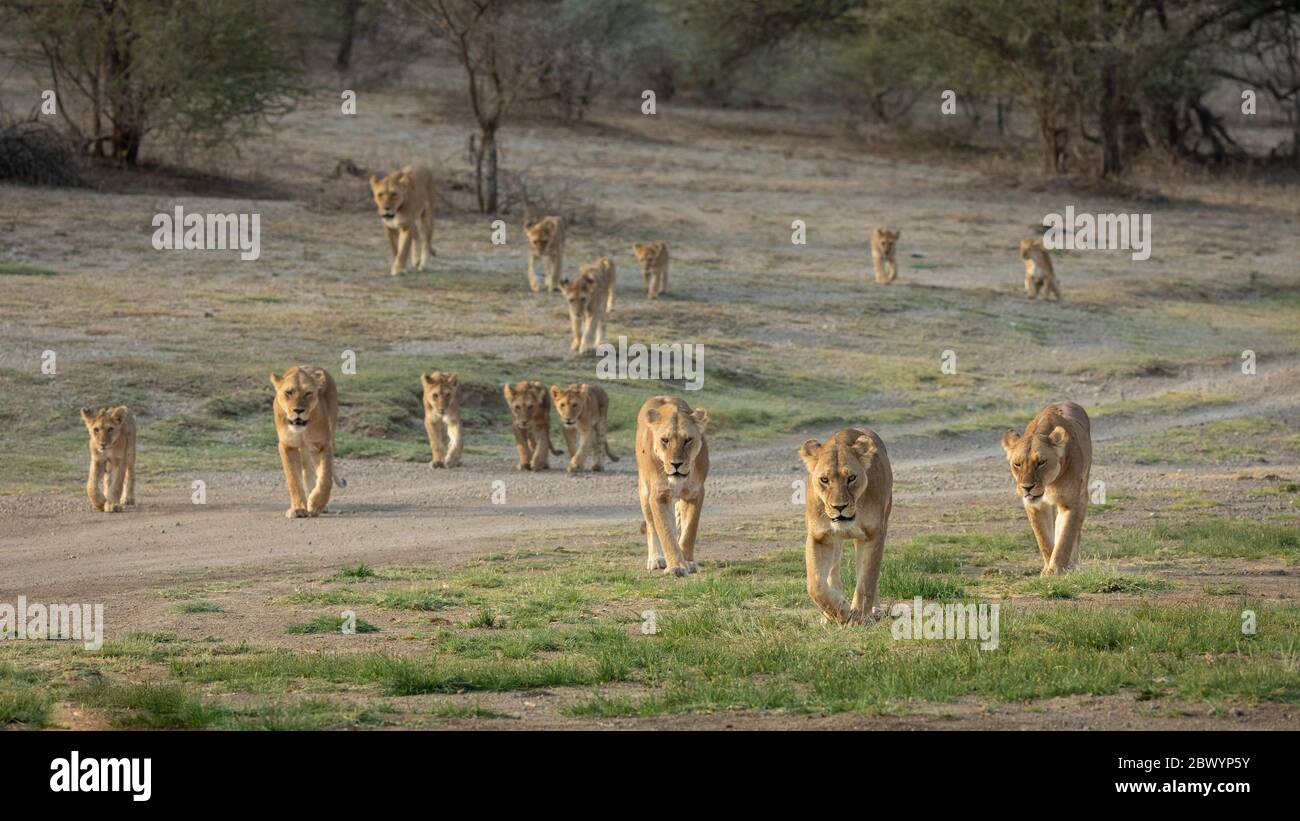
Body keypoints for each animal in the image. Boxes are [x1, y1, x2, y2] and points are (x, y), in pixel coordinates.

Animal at [269, 366, 346, 518]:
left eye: (308, 393)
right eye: (288, 392)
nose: (298, 410)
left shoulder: (322, 444)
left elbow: (325, 478)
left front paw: (316, 504)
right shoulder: (287, 446)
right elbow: (293, 479)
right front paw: (298, 509)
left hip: (330, 432)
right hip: (303, 449)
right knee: (306, 472)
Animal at [636, 396, 709, 576]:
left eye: (687, 440)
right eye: (665, 440)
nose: (676, 464)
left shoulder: (695, 493)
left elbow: (689, 530)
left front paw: (687, 561)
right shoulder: (659, 496)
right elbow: (666, 532)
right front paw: (676, 566)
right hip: (644, 492)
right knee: (651, 526)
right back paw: (655, 559)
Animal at [799, 428, 893, 625]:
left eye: (851, 478)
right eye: (824, 479)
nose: (839, 507)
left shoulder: (874, 534)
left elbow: (866, 581)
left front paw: (859, 616)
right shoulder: (819, 537)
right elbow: (815, 585)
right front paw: (840, 612)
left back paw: (874, 610)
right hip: (836, 543)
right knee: (833, 574)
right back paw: (829, 615)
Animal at [1001, 402, 1092, 575]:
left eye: (1041, 462)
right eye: (1017, 464)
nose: (1027, 487)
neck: (1049, 484)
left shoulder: (1071, 503)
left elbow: (1065, 538)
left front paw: (1055, 569)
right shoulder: (1034, 506)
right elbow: (1043, 538)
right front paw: (1048, 568)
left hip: (1083, 491)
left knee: (1075, 532)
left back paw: (1073, 564)